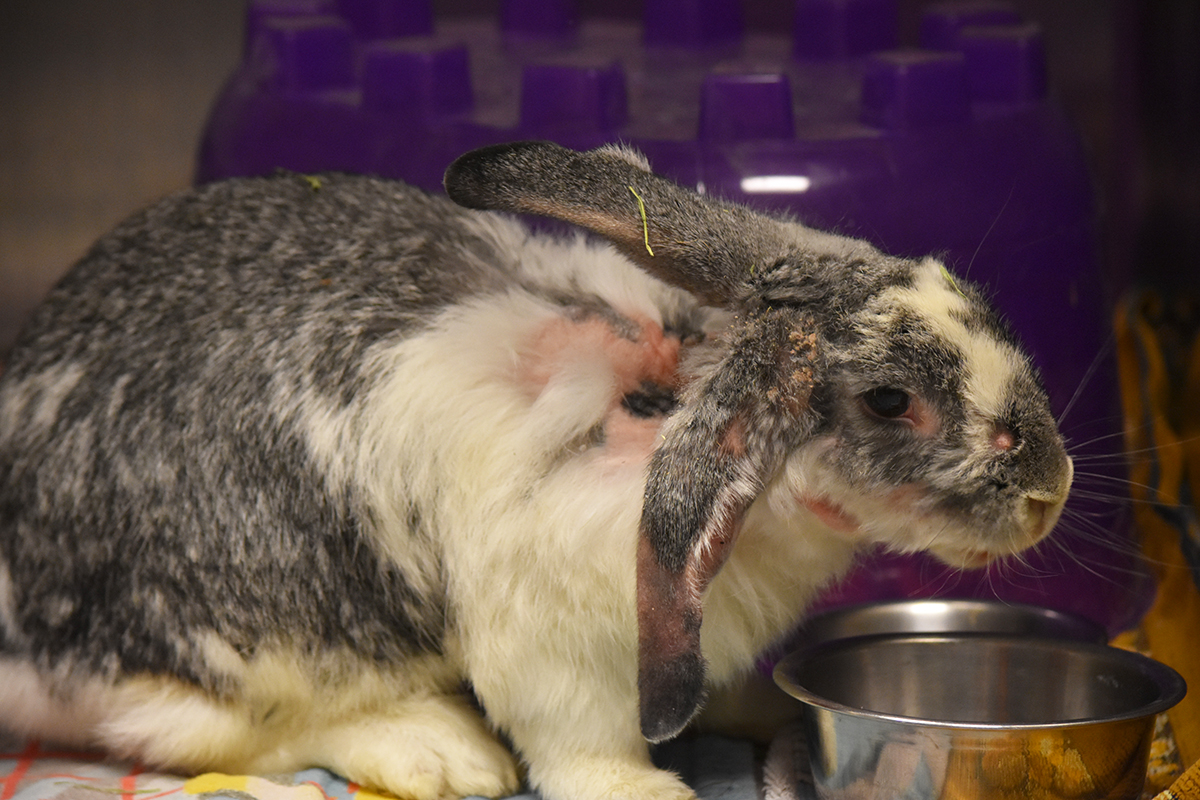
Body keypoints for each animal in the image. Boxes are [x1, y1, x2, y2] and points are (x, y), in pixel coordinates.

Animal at [0, 143, 1070, 800]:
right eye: (889, 401)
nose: (1049, 492)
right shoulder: (559, 652)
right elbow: (579, 745)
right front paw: (650, 789)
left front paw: (766, 708)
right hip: (248, 652)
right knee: (222, 733)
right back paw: (439, 754)